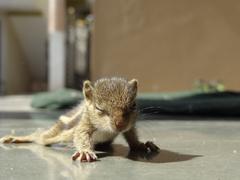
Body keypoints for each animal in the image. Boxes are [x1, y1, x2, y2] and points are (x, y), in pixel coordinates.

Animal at [0, 77, 159, 162]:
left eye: (133, 105)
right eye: (99, 108)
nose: (120, 125)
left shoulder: (129, 126)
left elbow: (131, 135)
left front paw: (141, 144)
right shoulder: (84, 124)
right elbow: (81, 135)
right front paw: (85, 151)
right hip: (48, 137)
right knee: (38, 135)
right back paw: (15, 138)